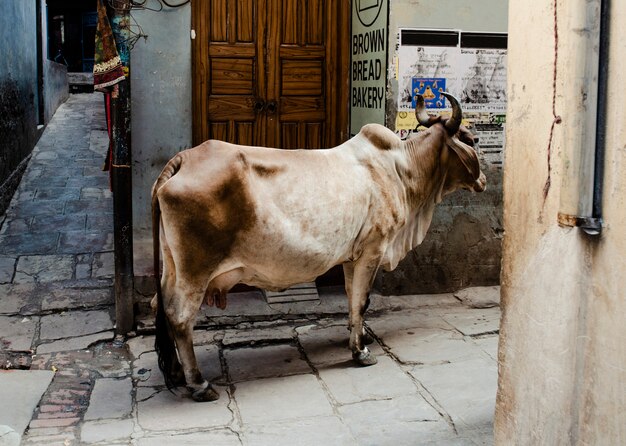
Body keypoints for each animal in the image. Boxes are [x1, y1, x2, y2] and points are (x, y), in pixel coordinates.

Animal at [150, 93, 482, 400]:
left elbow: (352, 298)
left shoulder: (352, 256)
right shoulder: (373, 250)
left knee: (161, 307)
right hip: (195, 272)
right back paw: (198, 384)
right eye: (470, 139)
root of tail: (184, 159)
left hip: (172, 268)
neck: (402, 169)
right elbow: (362, 301)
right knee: (180, 317)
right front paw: (360, 352)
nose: (484, 181)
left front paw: (359, 336)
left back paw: (176, 373)